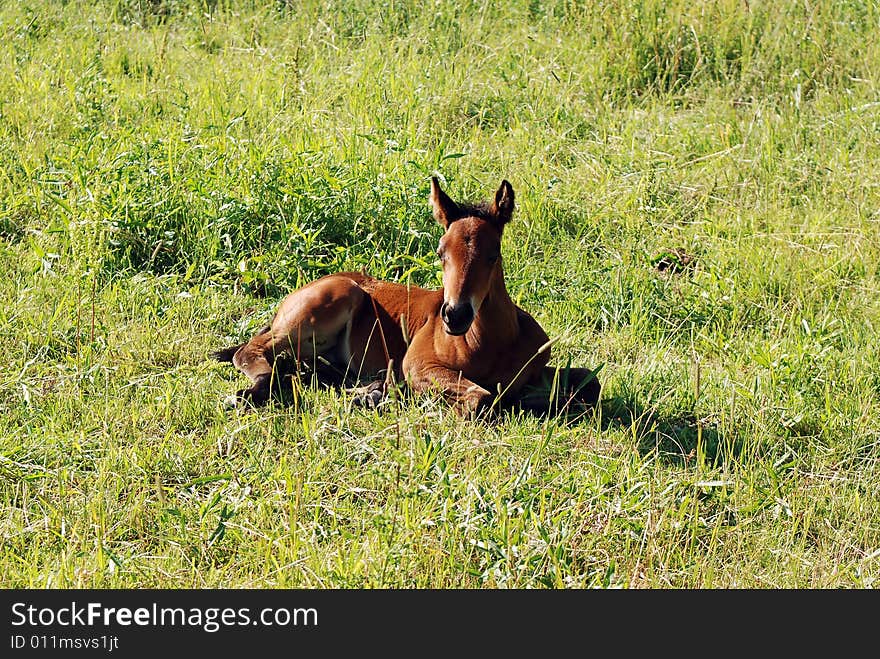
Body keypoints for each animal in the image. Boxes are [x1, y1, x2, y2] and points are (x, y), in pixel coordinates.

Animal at [215, 178, 600, 416]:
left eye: (494, 254)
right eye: (441, 252)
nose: (455, 315)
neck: (492, 344)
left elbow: (590, 382)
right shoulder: (418, 363)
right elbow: (479, 398)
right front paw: (385, 395)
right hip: (325, 306)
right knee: (249, 350)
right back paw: (254, 391)